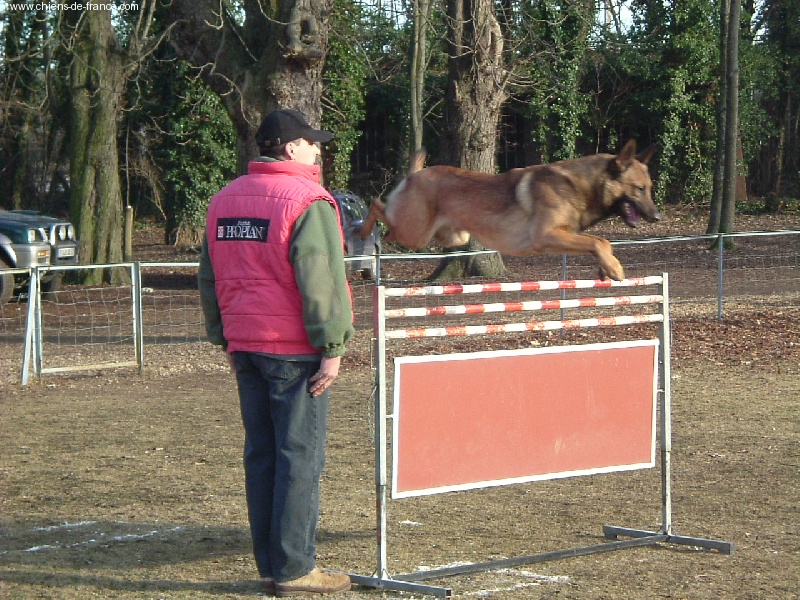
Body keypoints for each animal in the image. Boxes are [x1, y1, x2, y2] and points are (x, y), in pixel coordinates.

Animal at [360, 140, 660, 282]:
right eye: (639, 189)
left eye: (650, 187)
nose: (657, 217)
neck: (580, 185)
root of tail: (415, 174)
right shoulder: (547, 236)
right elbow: (598, 241)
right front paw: (614, 267)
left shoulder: (565, 236)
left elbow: (599, 242)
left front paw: (605, 268)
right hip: (415, 232)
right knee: (376, 205)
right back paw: (363, 231)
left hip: (453, 236)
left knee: (389, 223)